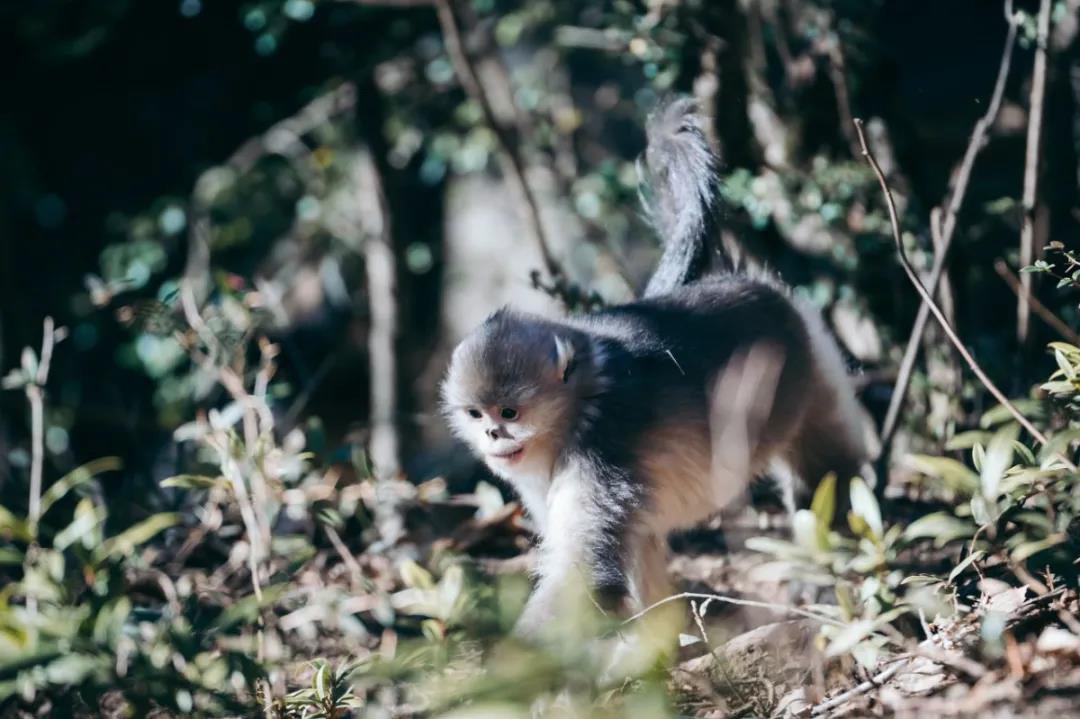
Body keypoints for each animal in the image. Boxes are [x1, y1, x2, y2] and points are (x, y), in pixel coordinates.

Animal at [438, 95, 868, 634]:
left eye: (509, 413)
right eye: (477, 415)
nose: (494, 435)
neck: (581, 406)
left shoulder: (601, 451)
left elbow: (587, 578)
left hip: (811, 361)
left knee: (827, 474)